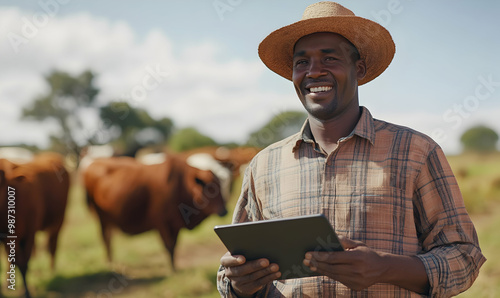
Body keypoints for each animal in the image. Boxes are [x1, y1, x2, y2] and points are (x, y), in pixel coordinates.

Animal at [83, 152, 228, 268]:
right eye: (210, 189)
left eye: (220, 186)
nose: (224, 211)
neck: (181, 185)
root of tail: (93, 162)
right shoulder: (162, 223)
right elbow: (169, 247)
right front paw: (173, 270)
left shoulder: (176, 224)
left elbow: (174, 246)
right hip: (101, 217)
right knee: (106, 239)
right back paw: (110, 263)